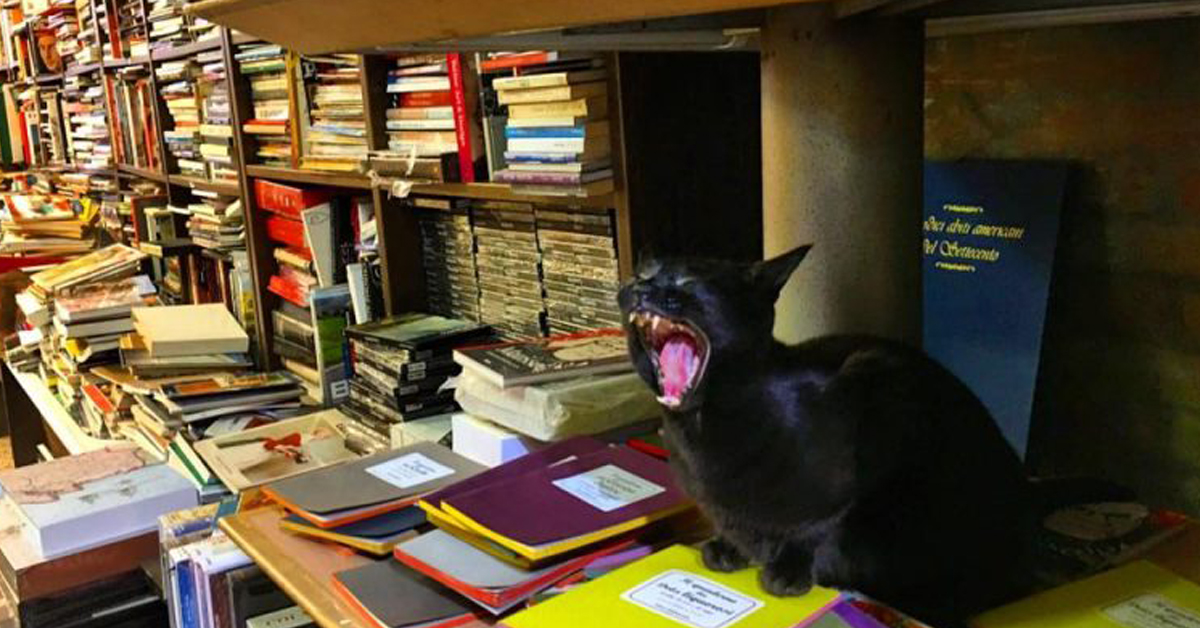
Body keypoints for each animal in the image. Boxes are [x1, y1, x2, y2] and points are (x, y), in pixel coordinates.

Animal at [619, 247, 1032, 628]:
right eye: (644, 272)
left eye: (687, 280)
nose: (638, 286)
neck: (699, 435)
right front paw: (728, 546)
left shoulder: (874, 418)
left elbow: (818, 527)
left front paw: (790, 569)